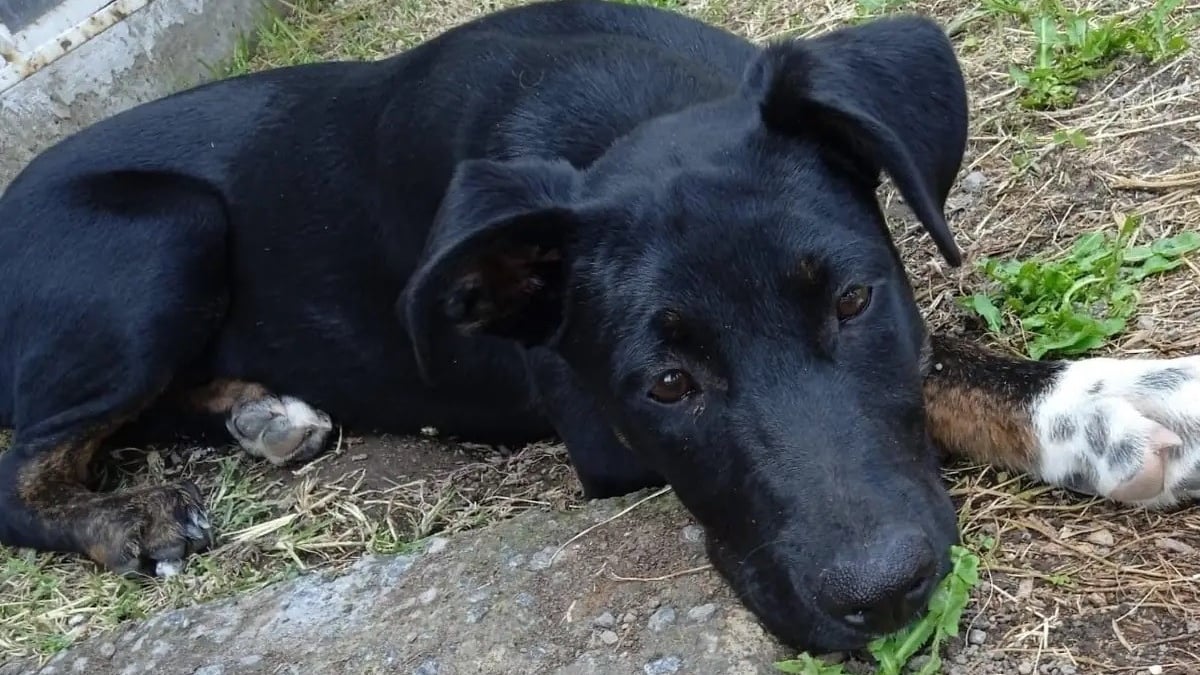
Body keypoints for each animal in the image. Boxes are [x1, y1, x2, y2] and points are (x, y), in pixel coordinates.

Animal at [4, 0, 1195, 653]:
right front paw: (1101, 419)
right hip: (169, 230)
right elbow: (939, 366)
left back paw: (265, 415)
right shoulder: (596, 429)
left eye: (855, 303)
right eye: (664, 386)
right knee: (25, 464)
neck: (622, 108)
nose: (887, 596)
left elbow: (935, 356)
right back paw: (127, 519)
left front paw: (1104, 393)